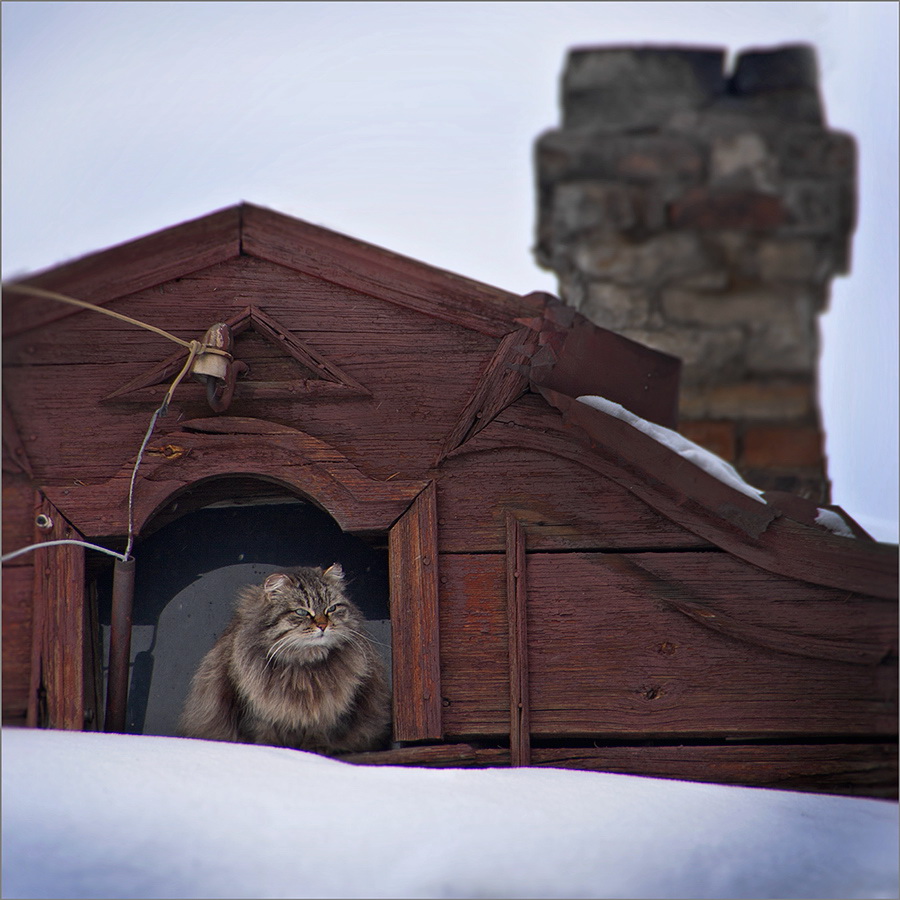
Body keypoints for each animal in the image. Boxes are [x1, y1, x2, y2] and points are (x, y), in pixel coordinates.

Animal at [178, 568, 390, 756]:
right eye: (302, 612)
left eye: (331, 608)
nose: (323, 625)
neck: (303, 666)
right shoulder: (255, 707)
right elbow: (264, 732)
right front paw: (272, 749)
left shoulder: (329, 709)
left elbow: (319, 731)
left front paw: (315, 749)